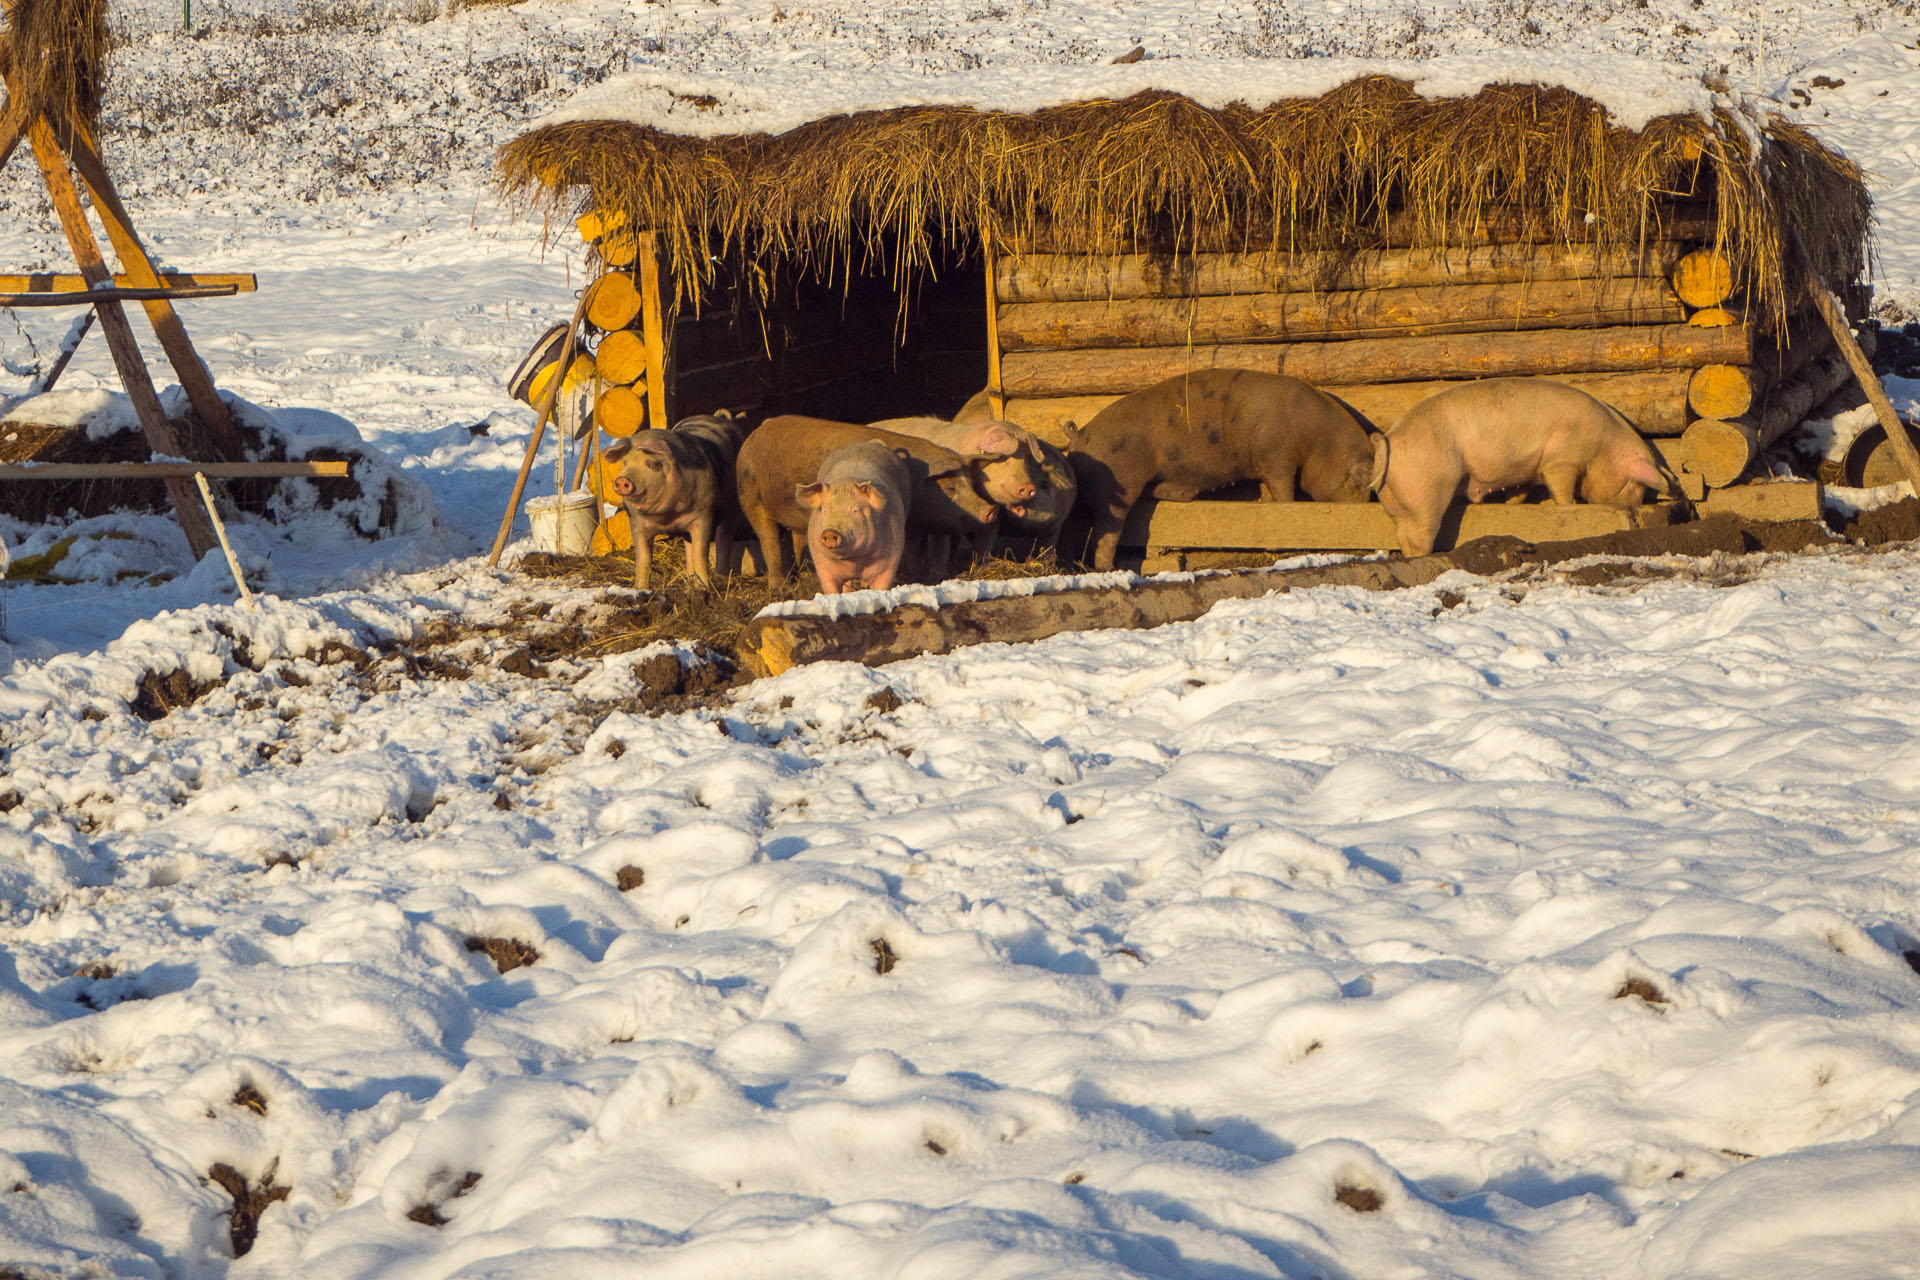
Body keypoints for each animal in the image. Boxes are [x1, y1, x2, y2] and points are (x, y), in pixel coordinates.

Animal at [602, 410, 752, 591]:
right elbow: (643, 559)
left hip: (733, 505)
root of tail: (722, 418)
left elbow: (701, 554)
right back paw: (689, 577)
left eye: (652, 464)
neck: (668, 516)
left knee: (724, 537)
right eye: (625, 463)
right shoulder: (637, 523)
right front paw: (640, 589)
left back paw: (720, 577)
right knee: (689, 545)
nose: (622, 480)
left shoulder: (703, 516)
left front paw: (703, 589)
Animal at [729, 416, 1006, 587]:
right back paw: (779, 587)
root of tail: (753, 435)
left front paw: (916, 576)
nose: (991, 510)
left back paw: (804, 575)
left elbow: (911, 549)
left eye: (971, 484)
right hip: (752, 500)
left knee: (796, 540)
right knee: (769, 541)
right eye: (949, 487)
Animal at [1075, 370, 1374, 571]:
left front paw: (1262, 504)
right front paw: (1284, 508)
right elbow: (1284, 491)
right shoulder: (1276, 456)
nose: (1361, 509)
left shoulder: (1263, 463)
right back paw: (1110, 570)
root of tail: (1081, 435)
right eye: (1356, 482)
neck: (1317, 439)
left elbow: (1267, 491)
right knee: (1107, 532)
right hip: (1118, 488)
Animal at [1374, 379, 1674, 560]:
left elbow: (1519, 492)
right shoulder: (1562, 460)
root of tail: (1389, 441)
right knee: (1419, 537)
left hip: (1402, 504)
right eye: (1635, 485)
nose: (1635, 505)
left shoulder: (1525, 472)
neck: (1603, 446)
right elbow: (1562, 488)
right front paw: (1568, 505)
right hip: (1427, 490)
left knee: (1402, 534)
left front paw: (1513, 505)